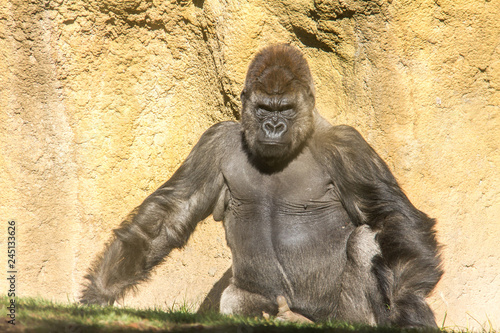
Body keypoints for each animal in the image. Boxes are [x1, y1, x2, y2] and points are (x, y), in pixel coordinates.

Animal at [81, 43, 442, 326]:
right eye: (264, 108)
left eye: (286, 109)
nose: (273, 127)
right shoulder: (215, 141)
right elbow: (170, 215)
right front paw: (99, 292)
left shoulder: (348, 146)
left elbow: (393, 217)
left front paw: (409, 305)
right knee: (235, 300)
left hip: (336, 318)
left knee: (367, 240)